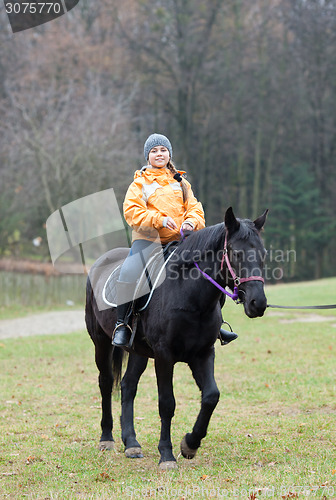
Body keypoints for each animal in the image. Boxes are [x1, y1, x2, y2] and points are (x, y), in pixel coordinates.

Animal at [86, 206, 268, 468]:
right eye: (235, 252)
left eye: (263, 253)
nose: (258, 303)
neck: (188, 295)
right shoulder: (164, 356)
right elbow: (167, 403)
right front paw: (166, 454)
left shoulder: (203, 353)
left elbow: (211, 396)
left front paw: (190, 443)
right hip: (101, 342)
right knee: (106, 382)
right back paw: (107, 438)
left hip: (139, 351)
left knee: (128, 386)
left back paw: (131, 443)